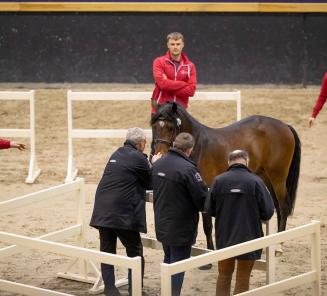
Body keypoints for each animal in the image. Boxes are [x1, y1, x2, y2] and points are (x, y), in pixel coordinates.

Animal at [151, 103, 302, 253]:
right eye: (154, 127)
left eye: (171, 127)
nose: (159, 155)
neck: (198, 145)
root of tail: (285, 125)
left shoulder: (205, 190)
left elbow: (207, 225)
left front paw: (211, 251)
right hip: (266, 176)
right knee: (277, 206)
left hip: (278, 177)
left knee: (283, 205)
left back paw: (279, 246)